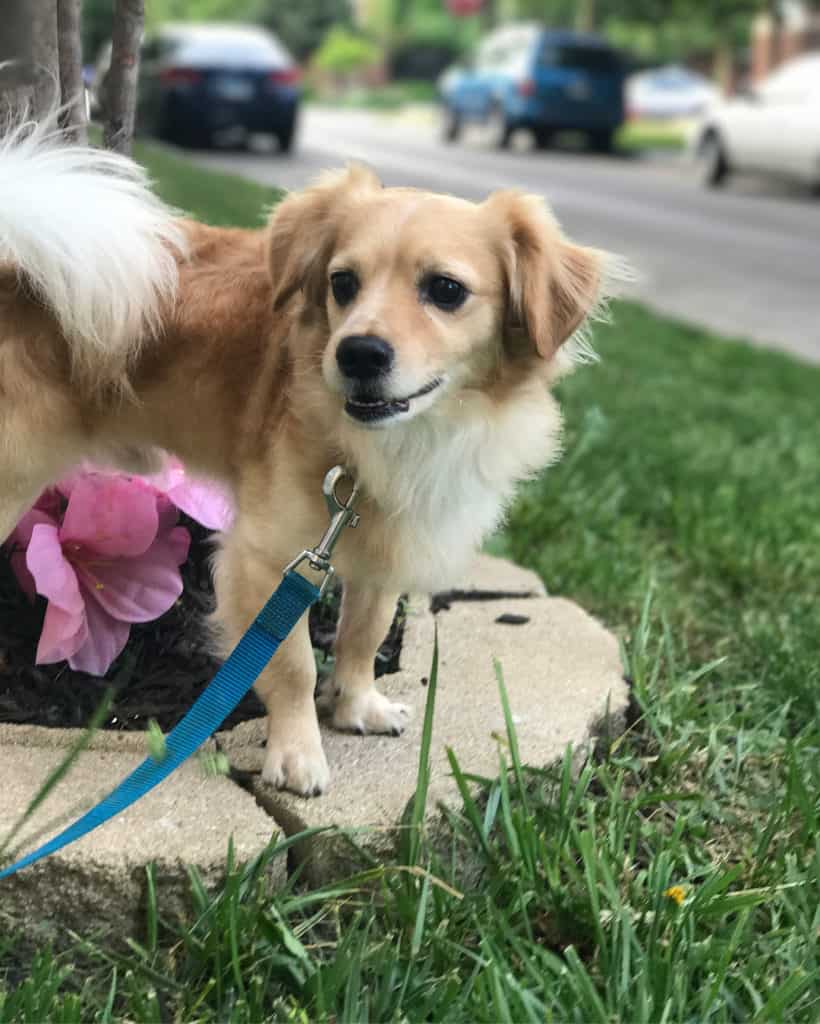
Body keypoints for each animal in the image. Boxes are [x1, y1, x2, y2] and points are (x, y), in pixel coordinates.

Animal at [0, 117, 622, 790]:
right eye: (342, 283)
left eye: (446, 290)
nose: (358, 353)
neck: (405, 437)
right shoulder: (267, 560)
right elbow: (293, 662)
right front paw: (297, 752)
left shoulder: (378, 543)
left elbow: (363, 631)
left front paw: (356, 705)